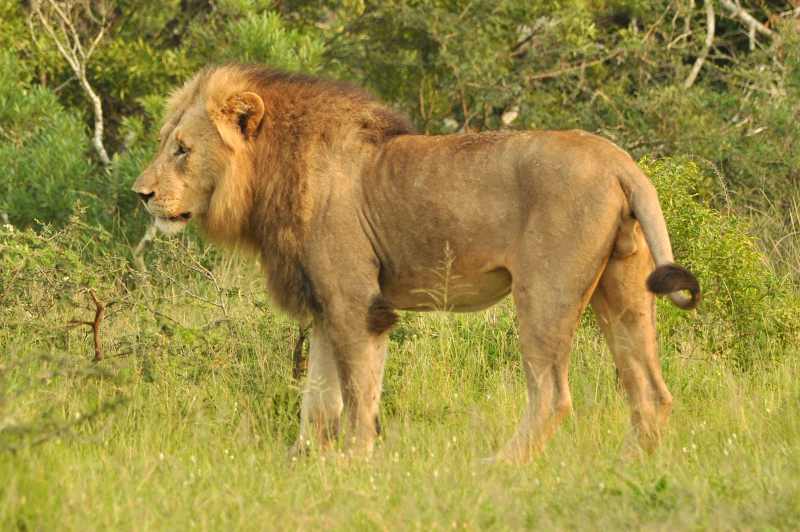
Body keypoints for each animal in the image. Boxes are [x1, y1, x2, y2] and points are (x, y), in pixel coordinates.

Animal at [133, 64, 700, 463]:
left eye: (182, 150)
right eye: (167, 144)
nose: (141, 194)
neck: (271, 171)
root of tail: (622, 163)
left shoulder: (355, 301)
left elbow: (358, 394)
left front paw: (354, 462)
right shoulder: (323, 305)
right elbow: (318, 399)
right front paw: (300, 462)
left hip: (544, 293)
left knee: (553, 395)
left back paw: (500, 465)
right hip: (622, 292)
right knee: (651, 392)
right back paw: (628, 467)